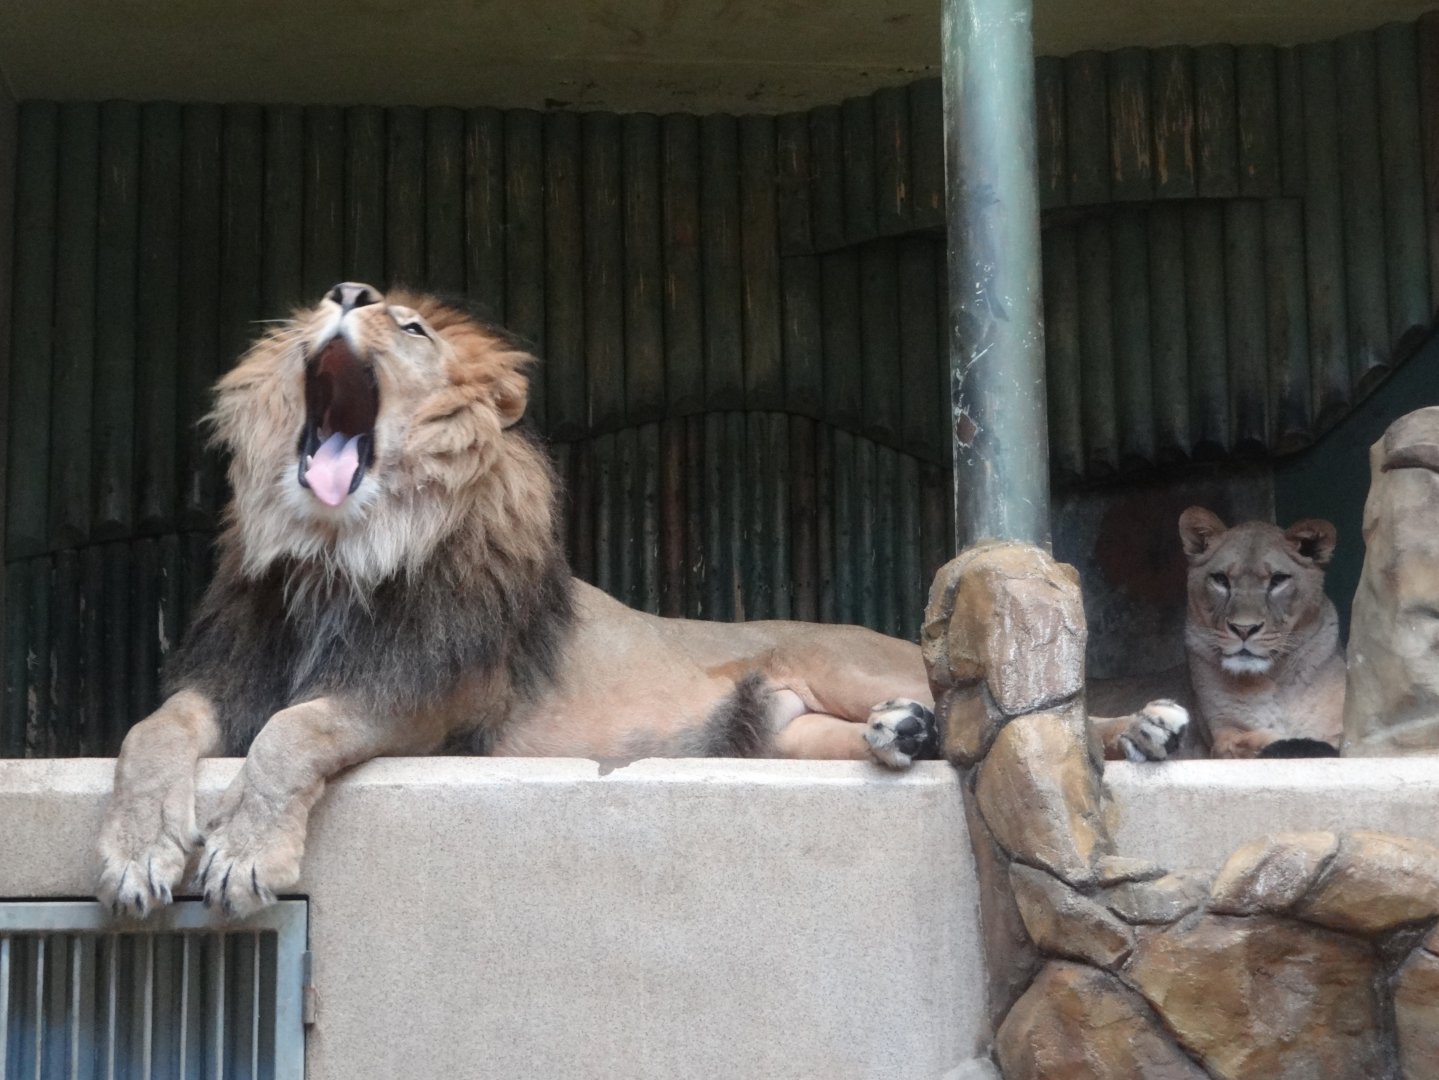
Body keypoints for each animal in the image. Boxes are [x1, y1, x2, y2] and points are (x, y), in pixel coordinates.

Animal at [97, 283, 1186, 920]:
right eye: (336, 298)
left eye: (407, 326)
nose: (348, 290)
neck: (335, 556)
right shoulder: (228, 672)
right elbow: (153, 731)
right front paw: (138, 853)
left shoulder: (429, 695)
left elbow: (297, 730)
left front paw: (243, 857)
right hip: (781, 735)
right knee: (876, 735)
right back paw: (900, 734)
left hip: (845, 657)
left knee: (1017, 718)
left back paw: (1143, 727)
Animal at [1174, 506, 1345, 758]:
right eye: (1220, 579)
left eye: (1278, 579)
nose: (1244, 629)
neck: (1275, 679)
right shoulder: (1221, 736)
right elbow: (1248, 741)